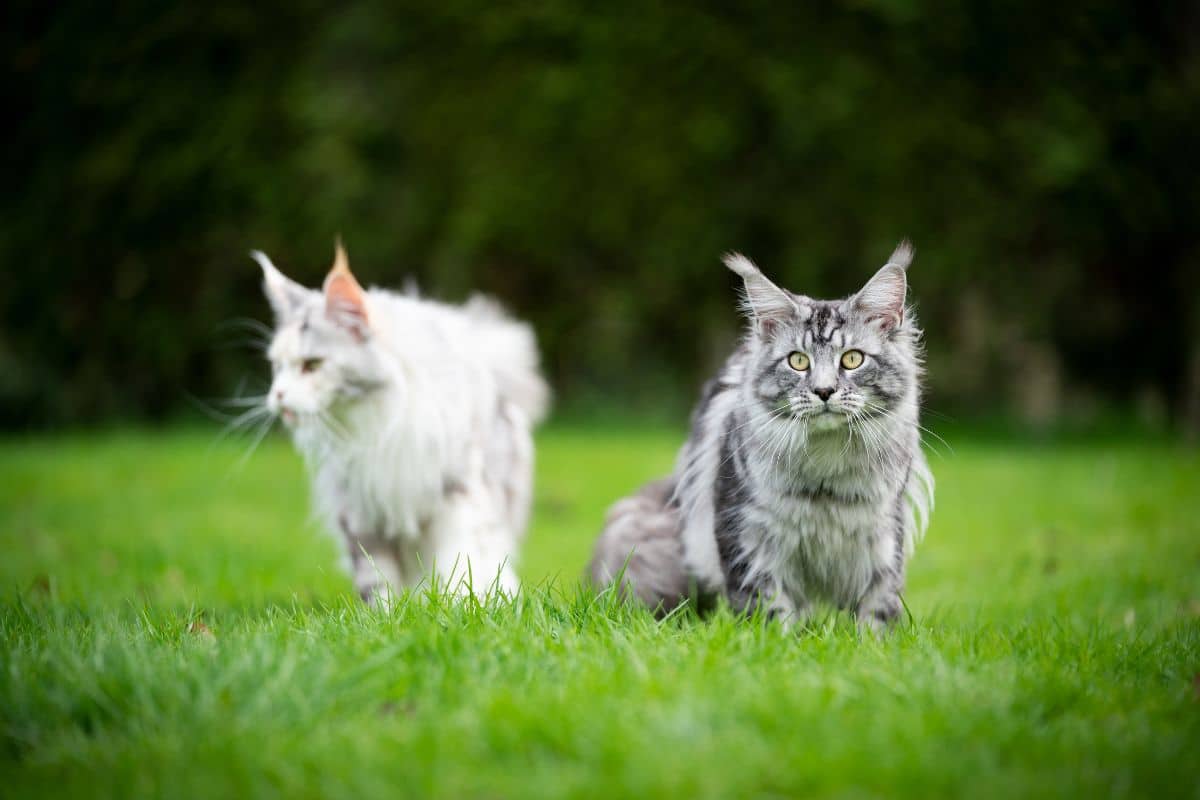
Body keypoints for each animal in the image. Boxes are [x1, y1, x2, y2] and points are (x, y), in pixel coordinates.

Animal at [255, 241, 549, 604]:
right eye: (277, 367)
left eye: (312, 364)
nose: (278, 395)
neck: (374, 422)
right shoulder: (360, 508)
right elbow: (376, 578)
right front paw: (387, 614)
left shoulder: (454, 496)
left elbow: (456, 564)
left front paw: (457, 608)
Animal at [590, 244, 936, 633]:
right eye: (798, 361)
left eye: (852, 359)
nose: (824, 391)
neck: (826, 472)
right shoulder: (748, 537)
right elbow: (770, 611)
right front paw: (781, 642)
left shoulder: (883, 539)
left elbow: (877, 613)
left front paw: (871, 644)